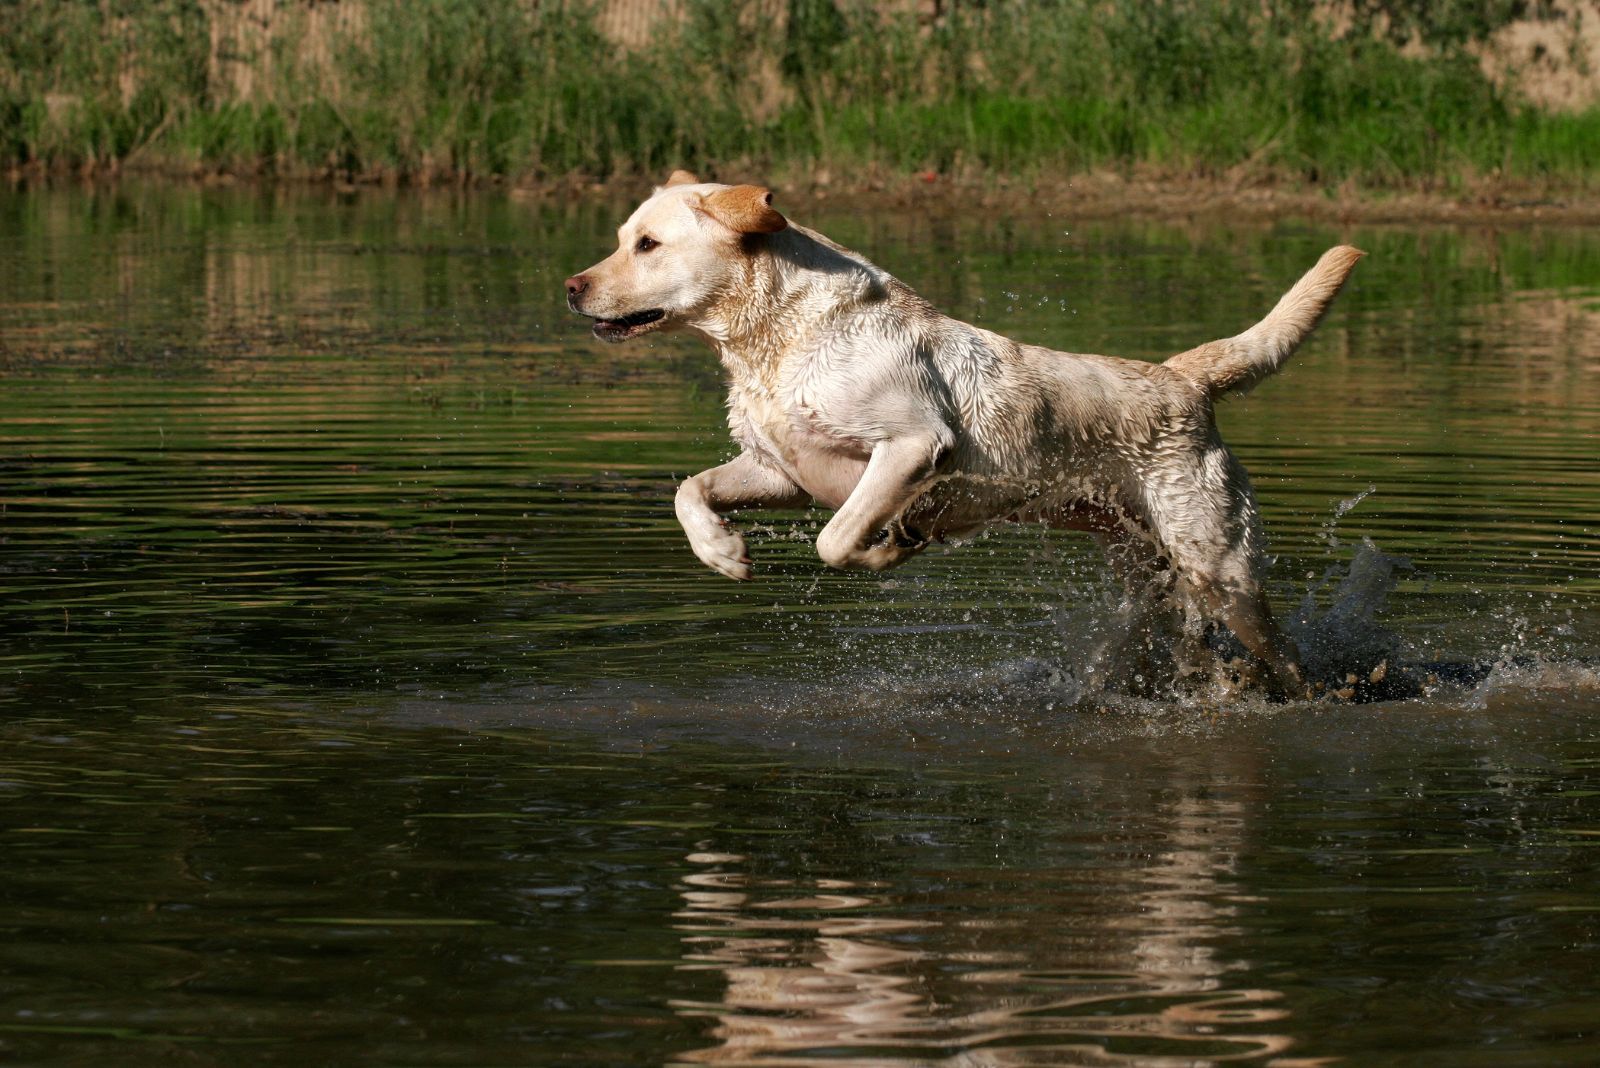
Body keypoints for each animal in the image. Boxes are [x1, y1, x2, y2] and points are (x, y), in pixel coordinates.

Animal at [566, 171, 1363, 697]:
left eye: (647, 245)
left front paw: (890, 549)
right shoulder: (780, 471)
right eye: (621, 240)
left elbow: (837, 538)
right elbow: (689, 490)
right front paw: (723, 553)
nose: (572, 287)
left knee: (1287, 658)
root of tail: (1182, 379)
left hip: (1222, 569)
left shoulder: (915, 445)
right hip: (1143, 568)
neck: (781, 338)